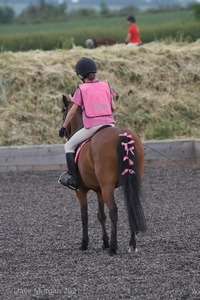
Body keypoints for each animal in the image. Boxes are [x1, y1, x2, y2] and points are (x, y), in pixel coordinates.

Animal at [61, 95, 147, 254]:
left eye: (63, 111)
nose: (63, 132)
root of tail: (123, 135)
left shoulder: (80, 190)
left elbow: (84, 216)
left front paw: (85, 243)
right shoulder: (98, 190)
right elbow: (101, 215)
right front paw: (104, 242)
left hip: (107, 187)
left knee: (114, 210)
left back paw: (113, 247)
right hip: (128, 183)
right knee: (131, 206)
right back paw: (132, 244)